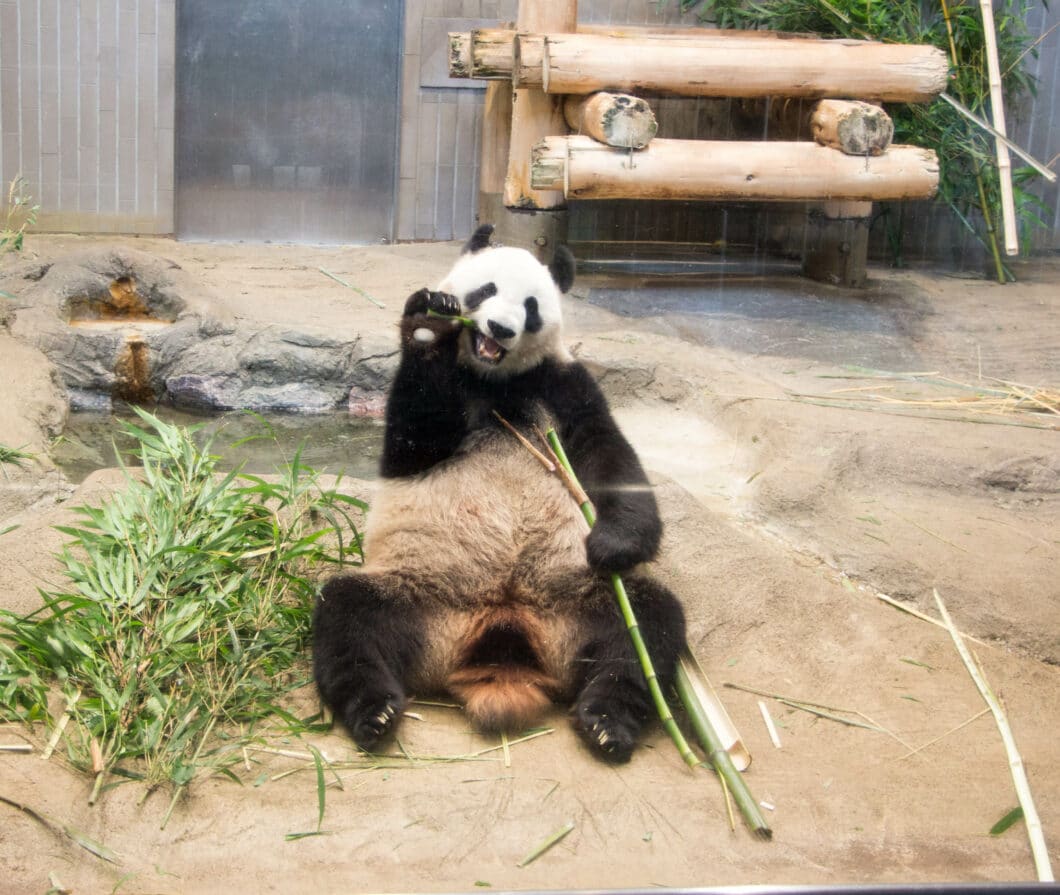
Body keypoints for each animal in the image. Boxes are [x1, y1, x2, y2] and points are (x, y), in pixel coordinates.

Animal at [309, 223, 686, 763]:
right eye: (485, 290)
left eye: (531, 307)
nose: (502, 329)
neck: (495, 379)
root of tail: (502, 633)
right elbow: (416, 441)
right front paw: (430, 326)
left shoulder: (564, 384)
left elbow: (608, 457)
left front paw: (612, 544)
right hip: (419, 595)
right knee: (347, 618)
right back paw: (374, 713)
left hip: (576, 599)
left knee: (645, 631)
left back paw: (606, 722)